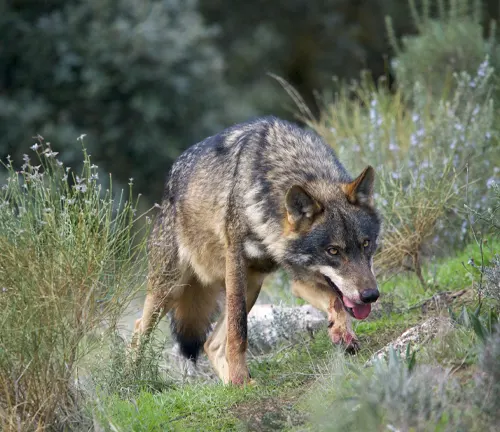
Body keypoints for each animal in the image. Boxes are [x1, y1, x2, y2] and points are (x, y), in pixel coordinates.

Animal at [131, 115, 380, 384]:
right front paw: (240, 379)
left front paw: (342, 333)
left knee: (210, 344)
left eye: (366, 244)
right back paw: (131, 379)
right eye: (333, 251)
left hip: (252, 284)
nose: (371, 295)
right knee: (138, 330)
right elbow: (238, 331)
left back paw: (231, 385)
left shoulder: (299, 278)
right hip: (171, 289)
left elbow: (336, 301)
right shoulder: (236, 262)